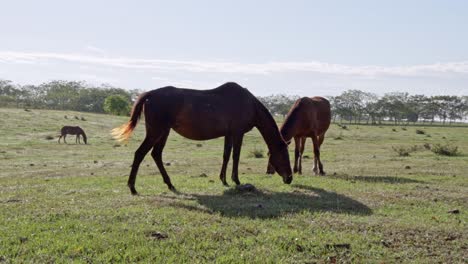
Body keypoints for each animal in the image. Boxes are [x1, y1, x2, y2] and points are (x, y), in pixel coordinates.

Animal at [111, 82, 290, 196]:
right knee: (140, 153)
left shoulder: (229, 134)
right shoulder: (238, 133)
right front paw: (236, 180)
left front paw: (224, 180)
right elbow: (236, 156)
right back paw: (132, 187)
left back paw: (170, 184)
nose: (289, 178)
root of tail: (150, 95)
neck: (250, 105)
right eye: (284, 156)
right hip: (156, 131)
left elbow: (226, 156)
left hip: (163, 132)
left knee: (156, 154)